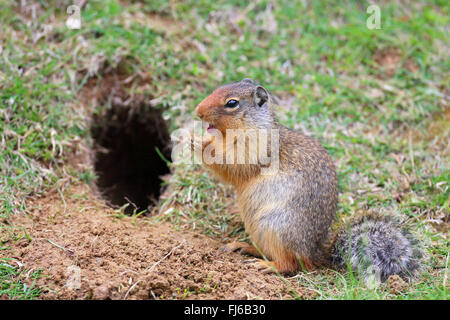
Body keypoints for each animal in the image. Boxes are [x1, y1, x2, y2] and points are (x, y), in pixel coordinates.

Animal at [192, 79, 424, 282]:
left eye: (232, 103)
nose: (197, 111)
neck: (254, 125)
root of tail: (314, 253)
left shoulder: (254, 150)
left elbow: (233, 165)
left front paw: (199, 143)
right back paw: (242, 247)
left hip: (275, 226)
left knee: (291, 264)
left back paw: (268, 265)